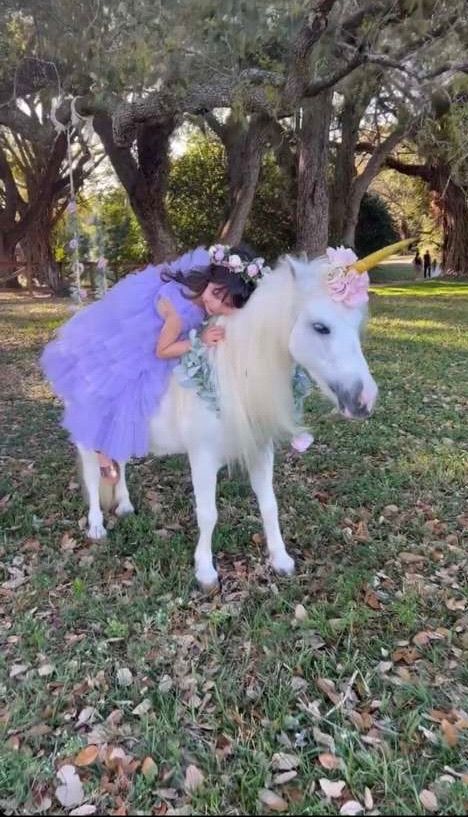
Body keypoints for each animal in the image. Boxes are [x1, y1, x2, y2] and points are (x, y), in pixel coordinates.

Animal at [78, 253, 378, 589]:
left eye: (357, 326)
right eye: (320, 327)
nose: (365, 400)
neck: (231, 376)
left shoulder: (261, 451)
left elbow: (269, 505)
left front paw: (281, 559)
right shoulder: (203, 458)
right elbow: (208, 513)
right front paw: (205, 571)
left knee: (120, 462)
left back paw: (126, 506)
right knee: (93, 476)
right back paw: (96, 526)